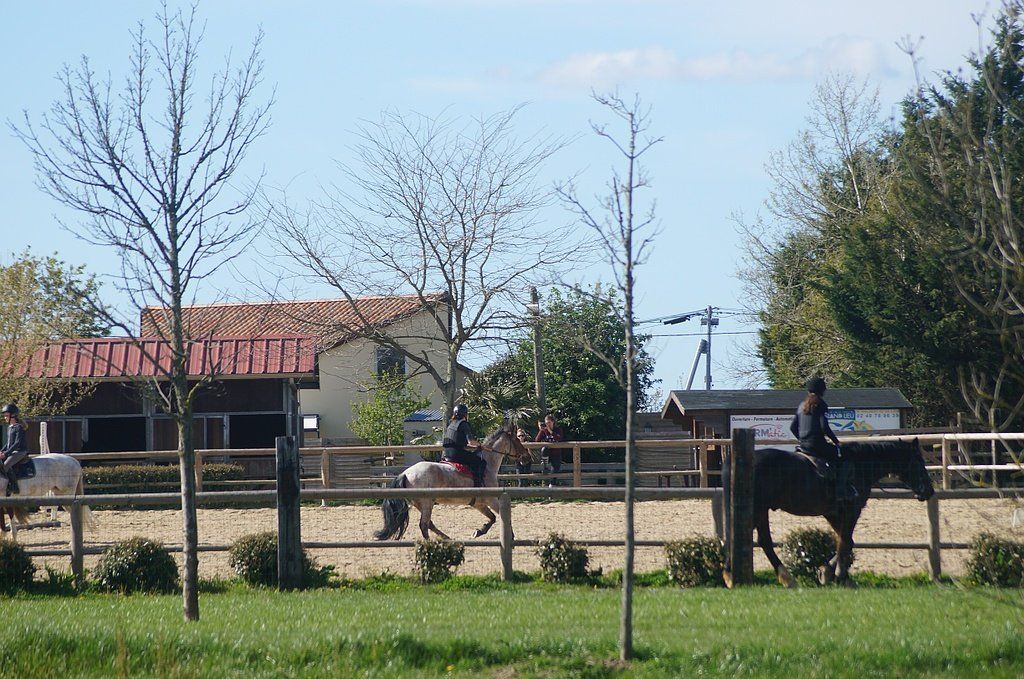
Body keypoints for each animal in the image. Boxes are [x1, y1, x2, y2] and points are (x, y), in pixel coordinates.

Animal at [374, 420, 531, 541]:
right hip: (426, 503)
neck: (488, 463)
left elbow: (492, 518)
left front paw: (479, 531)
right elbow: (503, 517)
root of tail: (405, 473)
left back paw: (446, 537)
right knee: (424, 525)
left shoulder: (479, 504)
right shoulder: (491, 500)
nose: (527, 457)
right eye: (517, 439)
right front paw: (509, 536)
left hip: (421, 504)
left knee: (429, 524)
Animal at [745, 439, 935, 587]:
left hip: (761, 510)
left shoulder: (833, 514)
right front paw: (837, 574)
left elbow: (845, 542)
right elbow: (845, 542)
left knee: (763, 541)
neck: (860, 466)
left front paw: (829, 571)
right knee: (759, 540)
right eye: (919, 461)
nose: (929, 490)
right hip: (758, 509)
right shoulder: (852, 510)